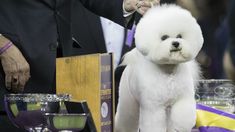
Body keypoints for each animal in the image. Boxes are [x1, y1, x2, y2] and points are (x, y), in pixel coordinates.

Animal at [114, 4, 203, 132]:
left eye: (179, 36)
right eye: (164, 37)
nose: (176, 43)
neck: (169, 71)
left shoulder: (182, 98)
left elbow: (182, 116)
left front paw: (180, 127)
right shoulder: (154, 106)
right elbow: (153, 123)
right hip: (129, 100)